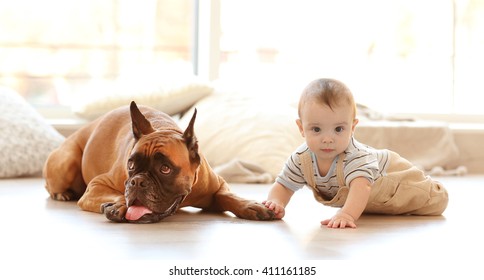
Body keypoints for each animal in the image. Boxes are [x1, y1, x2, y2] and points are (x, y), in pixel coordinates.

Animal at [44, 101, 276, 223]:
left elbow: (227, 196)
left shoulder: (218, 187)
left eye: (165, 169)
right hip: (66, 161)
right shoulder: (96, 186)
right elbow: (115, 193)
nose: (137, 182)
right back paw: (62, 193)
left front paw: (250, 205)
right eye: (130, 165)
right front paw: (118, 204)